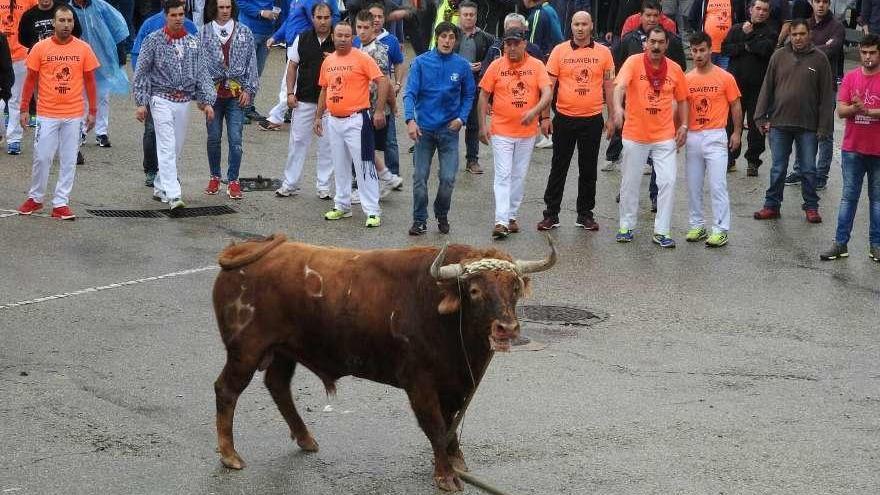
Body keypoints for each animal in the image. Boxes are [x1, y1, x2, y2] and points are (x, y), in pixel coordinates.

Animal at [214, 234, 556, 490]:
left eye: (515, 287)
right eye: (474, 290)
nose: (507, 328)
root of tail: (243, 248)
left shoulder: (454, 384)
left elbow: (451, 425)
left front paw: (456, 461)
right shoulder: (420, 383)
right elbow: (435, 426)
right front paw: (445, 474)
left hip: (284, 350)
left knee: (278, 385)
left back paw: (305, 438)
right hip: (245, 351)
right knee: (226, 390)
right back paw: (230, 455)